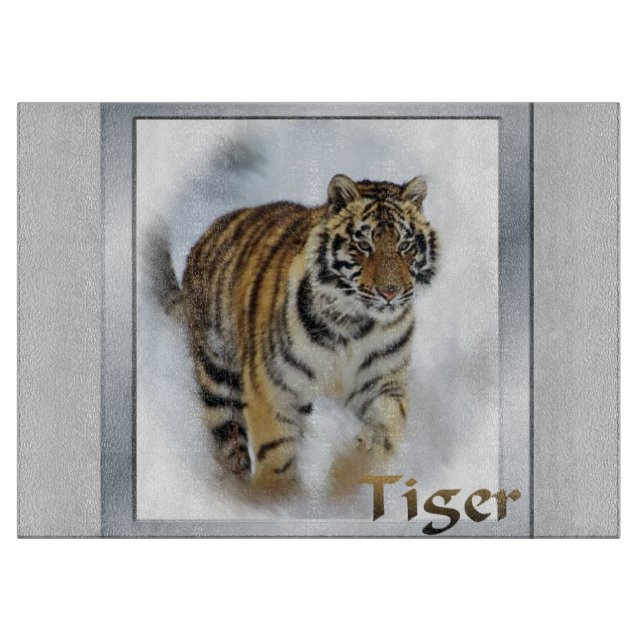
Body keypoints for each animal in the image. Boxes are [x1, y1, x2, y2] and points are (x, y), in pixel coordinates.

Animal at [149, 174, 438, 493]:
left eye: (405, 245)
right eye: (363, 245)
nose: (390, 292)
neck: (355, 325)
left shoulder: (382, 382)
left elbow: (384, 429)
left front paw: (347, 478)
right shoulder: (273, 385)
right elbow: (276, 448)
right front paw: (279, 495)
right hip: (217, 377)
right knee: (228, 444)